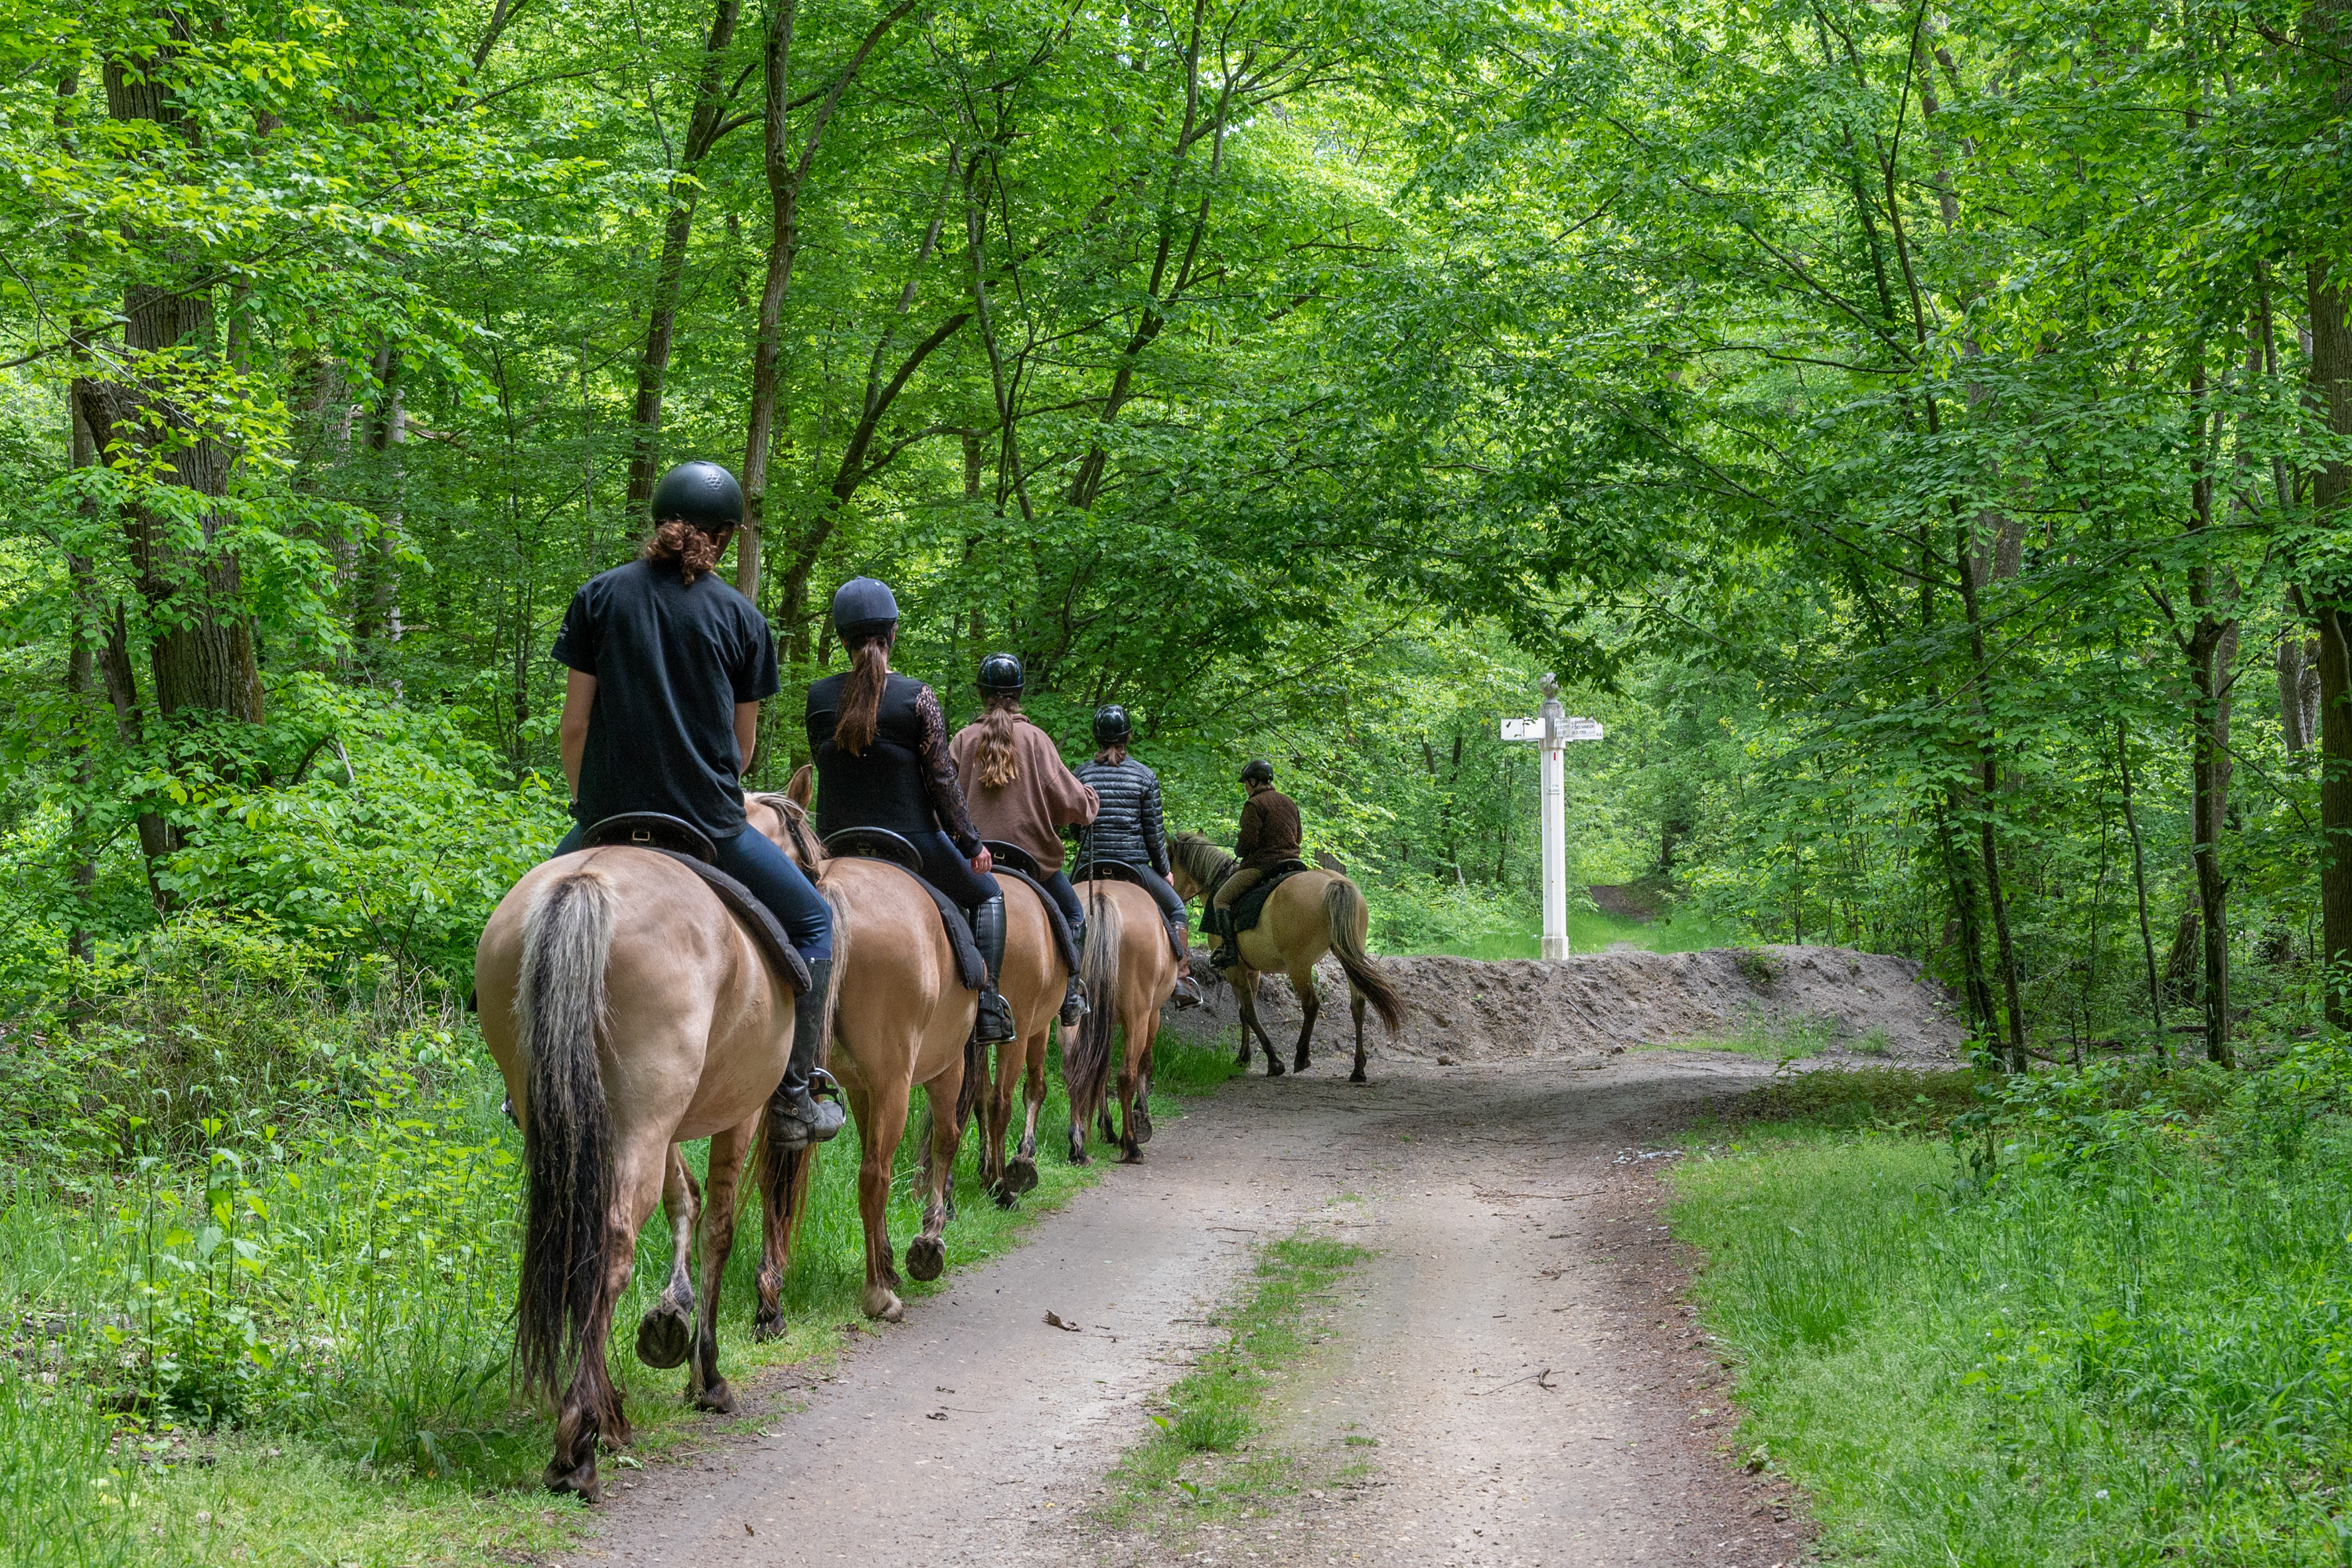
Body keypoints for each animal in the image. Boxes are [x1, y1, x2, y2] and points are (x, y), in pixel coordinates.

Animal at [475, 832, 799, 1495]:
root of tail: (585, 883)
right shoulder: (741, 1110)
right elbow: (718, 1225)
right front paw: (707, 1376)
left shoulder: (664, 1127)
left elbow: (685, 1198)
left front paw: (669, 1314)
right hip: (647, 1116)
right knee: (614, 1244)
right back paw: (580, 1443)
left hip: (588, 1116)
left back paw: (605, 1419)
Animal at [1063, 884, 1185, 1166]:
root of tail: (1100, 899)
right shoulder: (1152, 1015)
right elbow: (1144, 1065)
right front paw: (1141, 1116)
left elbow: (1101, 1069)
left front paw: (1106, 1127)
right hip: (1138, 1015)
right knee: (1125, 1075)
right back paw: (1131, 1146)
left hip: (1074, 1014)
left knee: (1075, 1067)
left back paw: (1078, 1147)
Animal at [1166, 841, 1401, 1086]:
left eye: (1170, 862)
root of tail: (1335, 883)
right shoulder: (1252, 970)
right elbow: (1243, 1012)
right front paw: (1243, 1058)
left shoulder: (1235, 970)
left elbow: (1249, 1012)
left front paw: (1273, 1061)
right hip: (1348, 955)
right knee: (1358, 1005)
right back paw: (1358, 1069)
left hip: (1298, 965)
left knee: (1311, 1004)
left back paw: (1302, 1056)